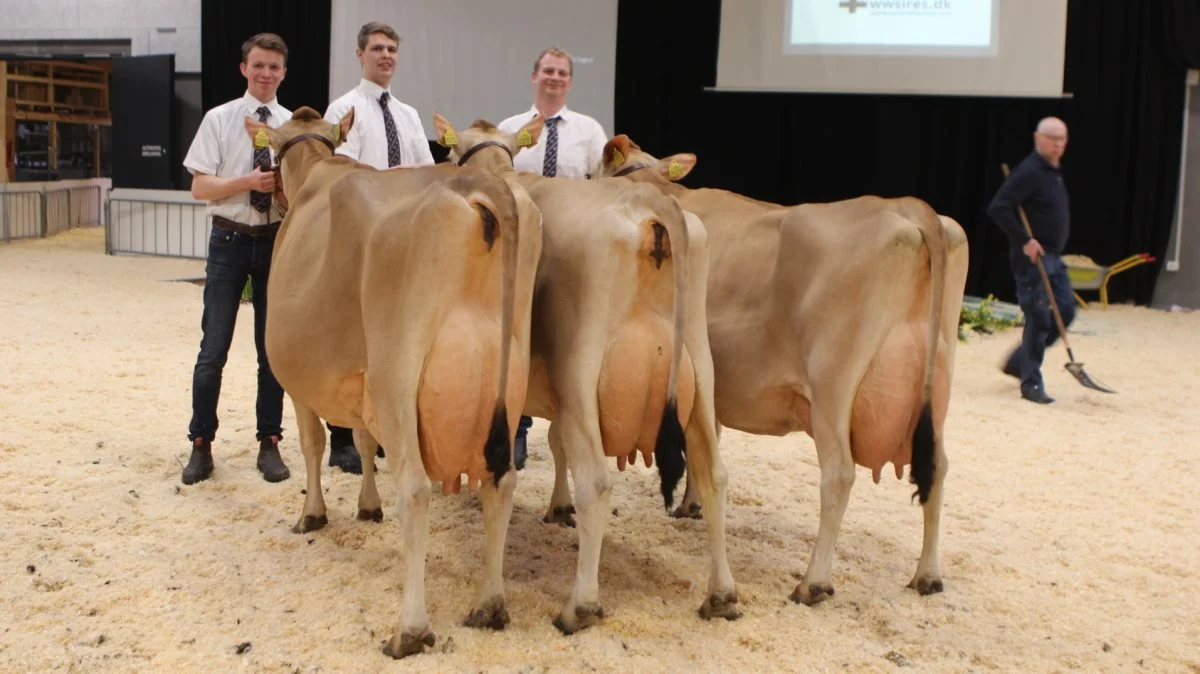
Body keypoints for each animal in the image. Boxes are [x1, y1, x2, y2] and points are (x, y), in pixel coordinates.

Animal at [246, 107, 542, 652]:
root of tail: (482, 185)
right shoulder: (361, 381)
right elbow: (363, 441)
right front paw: (367, 506)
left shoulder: (303, 383)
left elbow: (314, 444)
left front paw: (312, 514)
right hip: (507, 377)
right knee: (502, 481)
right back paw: (489, 605)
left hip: (397, 373)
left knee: (417, 489)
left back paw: (410, 629)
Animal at [434, 112, 739, 633]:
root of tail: (649, 204)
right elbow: (557, 444)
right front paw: (557, 508)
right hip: (699, 374)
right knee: (713, 474)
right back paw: (721, 595)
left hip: (582, 370)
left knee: (596, 482)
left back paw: (579, 606)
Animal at [595, 134, 969, 604]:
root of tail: (906, 207)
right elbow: (709, 439)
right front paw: (692, 504)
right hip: (937, 387)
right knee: (939, 465)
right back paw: (928, 575)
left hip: (832, 386)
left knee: (839, 474)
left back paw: (813, 583)